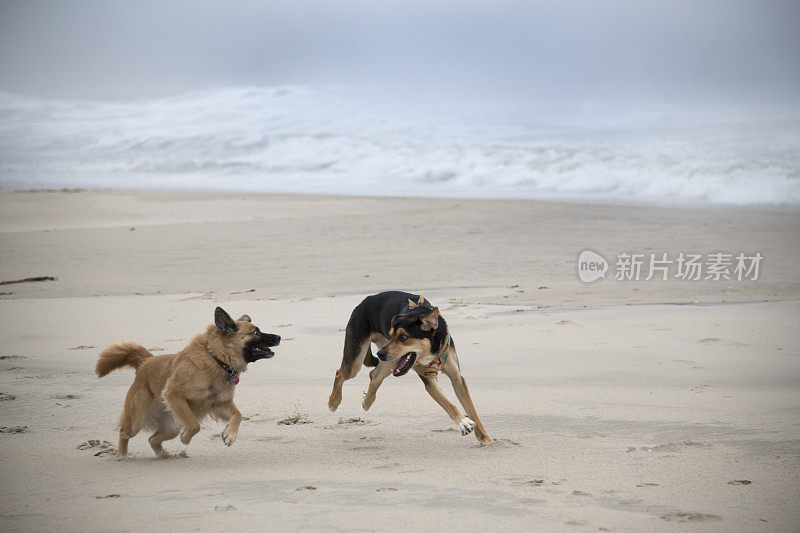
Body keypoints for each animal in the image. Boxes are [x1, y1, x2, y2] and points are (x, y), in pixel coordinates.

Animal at [97, 306, 282, 460]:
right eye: (256, 332)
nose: (279, 337)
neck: (216, 359)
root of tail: (146, 361)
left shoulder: (221, 403)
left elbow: (238, 415)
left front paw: (229, 435)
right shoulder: (174, 394)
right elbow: (194, 425)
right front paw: (186, 438)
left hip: (171, 426)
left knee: (152, 439)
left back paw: (164, 455)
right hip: (137, 419)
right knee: (124, 433)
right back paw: (121, 455)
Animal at [326, 290, 490, 444]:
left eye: (403, 337)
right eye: (392, 334)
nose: (380, 354)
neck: (433, 350)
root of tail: (365, 301)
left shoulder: (457, 378)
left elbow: (471, 408)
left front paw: (485, 438)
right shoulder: (428, 379)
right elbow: (448, 404)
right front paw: (463, 423)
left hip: (391, 360)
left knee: (374, 375)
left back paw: (367, 401)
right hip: (360, 358)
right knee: (340, 373)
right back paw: (334, 401)